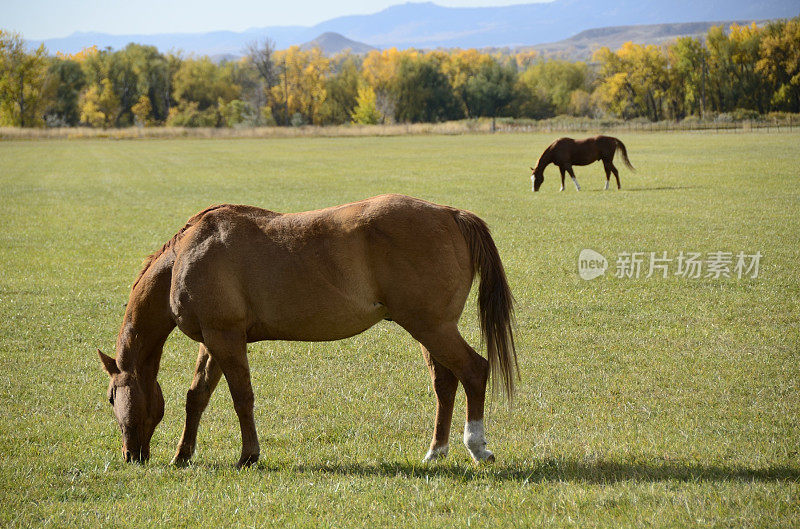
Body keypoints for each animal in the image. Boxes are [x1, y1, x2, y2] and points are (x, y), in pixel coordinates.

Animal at [97, 193, 520, 466]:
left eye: (111, 397)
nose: (131, 456)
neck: (186, 253)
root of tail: (450, 214)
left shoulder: (225, 339)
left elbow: (241, 398)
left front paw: (249, 456)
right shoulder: (214, 341)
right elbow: (196, 397)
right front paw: (182, 455)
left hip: (433, 328)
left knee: (475, 370)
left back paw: (477, 446)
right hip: (429, 331)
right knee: (445, 384)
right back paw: (436, 452)